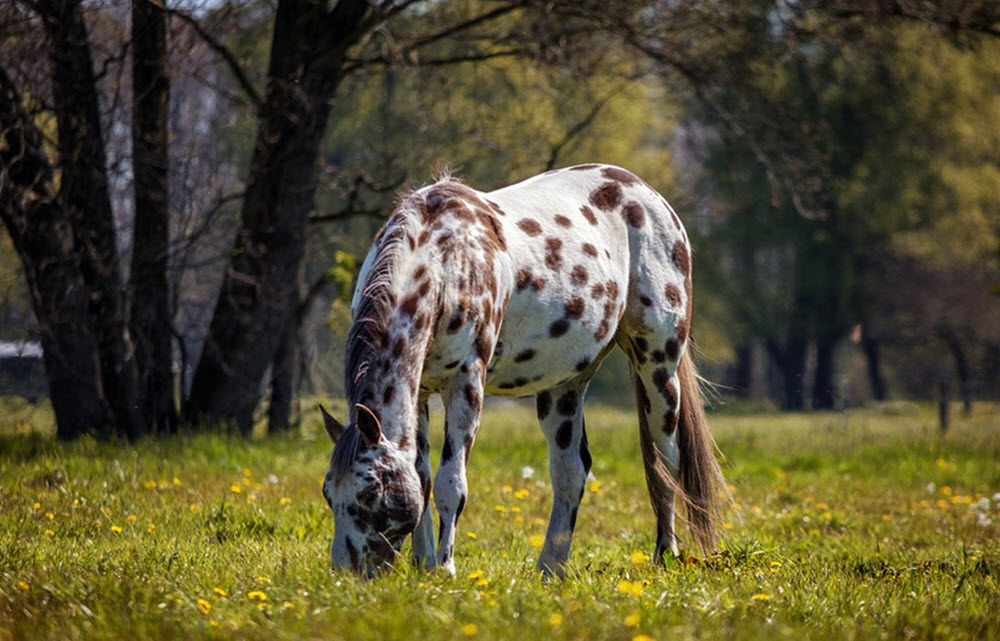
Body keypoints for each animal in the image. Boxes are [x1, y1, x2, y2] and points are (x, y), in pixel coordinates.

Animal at [320, 162, 728, 576]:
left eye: (370, 492)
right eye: (328, 492)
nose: (345, 573)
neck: (446, 261)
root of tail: (649, 195)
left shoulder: (466, 384)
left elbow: (452, 484)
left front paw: (444, 569)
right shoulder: (420, 391)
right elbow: (422, 478)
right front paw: (423, 565)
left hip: (658, 366)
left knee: (664, 463)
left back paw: (665, 555)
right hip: (564, 385)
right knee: (570, 472)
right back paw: (550, 568)